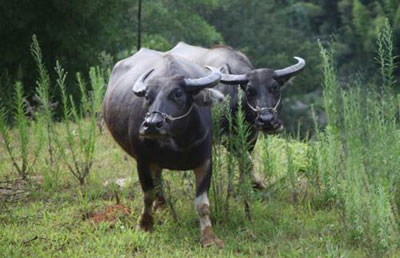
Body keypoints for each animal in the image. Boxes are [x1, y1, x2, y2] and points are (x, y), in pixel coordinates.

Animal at [101, 49, 227, 248]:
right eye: (147, 96)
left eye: (178, 93)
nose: (152, 124)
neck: (177, 143)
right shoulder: (143, 160)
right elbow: (147, 194)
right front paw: (145, 224)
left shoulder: (205, 161)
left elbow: (202, 203)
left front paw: (209, 236)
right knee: (157, 180)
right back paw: (160, 205)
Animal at [167, 42, 304, 189]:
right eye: (249, 91)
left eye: (275, 87)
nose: (267, 120)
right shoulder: (224, 136)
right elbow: (246, 159)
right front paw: (257, 183)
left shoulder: (251, 136)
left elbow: (244, 161)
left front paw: (244, 185)